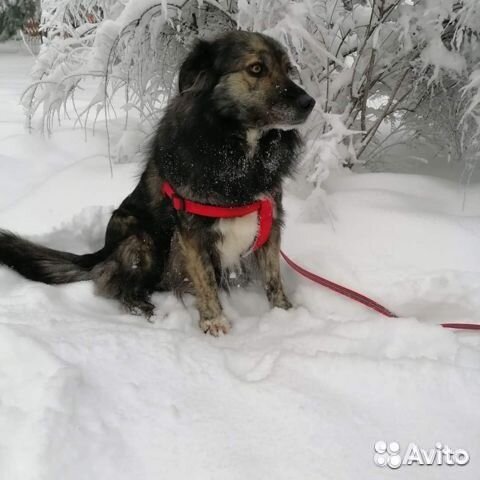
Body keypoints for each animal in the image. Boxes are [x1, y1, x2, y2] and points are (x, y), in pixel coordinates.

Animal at [0, 31, 316, 334]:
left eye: (288, 69)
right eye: (256, 68)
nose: (309, 103)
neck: (237, 152)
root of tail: (102, 253)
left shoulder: (270, 220)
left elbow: (273, 277)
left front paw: (285, 314)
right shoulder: (191, 231)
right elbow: (205, 280)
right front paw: (213, 320)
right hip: (140, 239)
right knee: (123, 288)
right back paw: (152, 313)